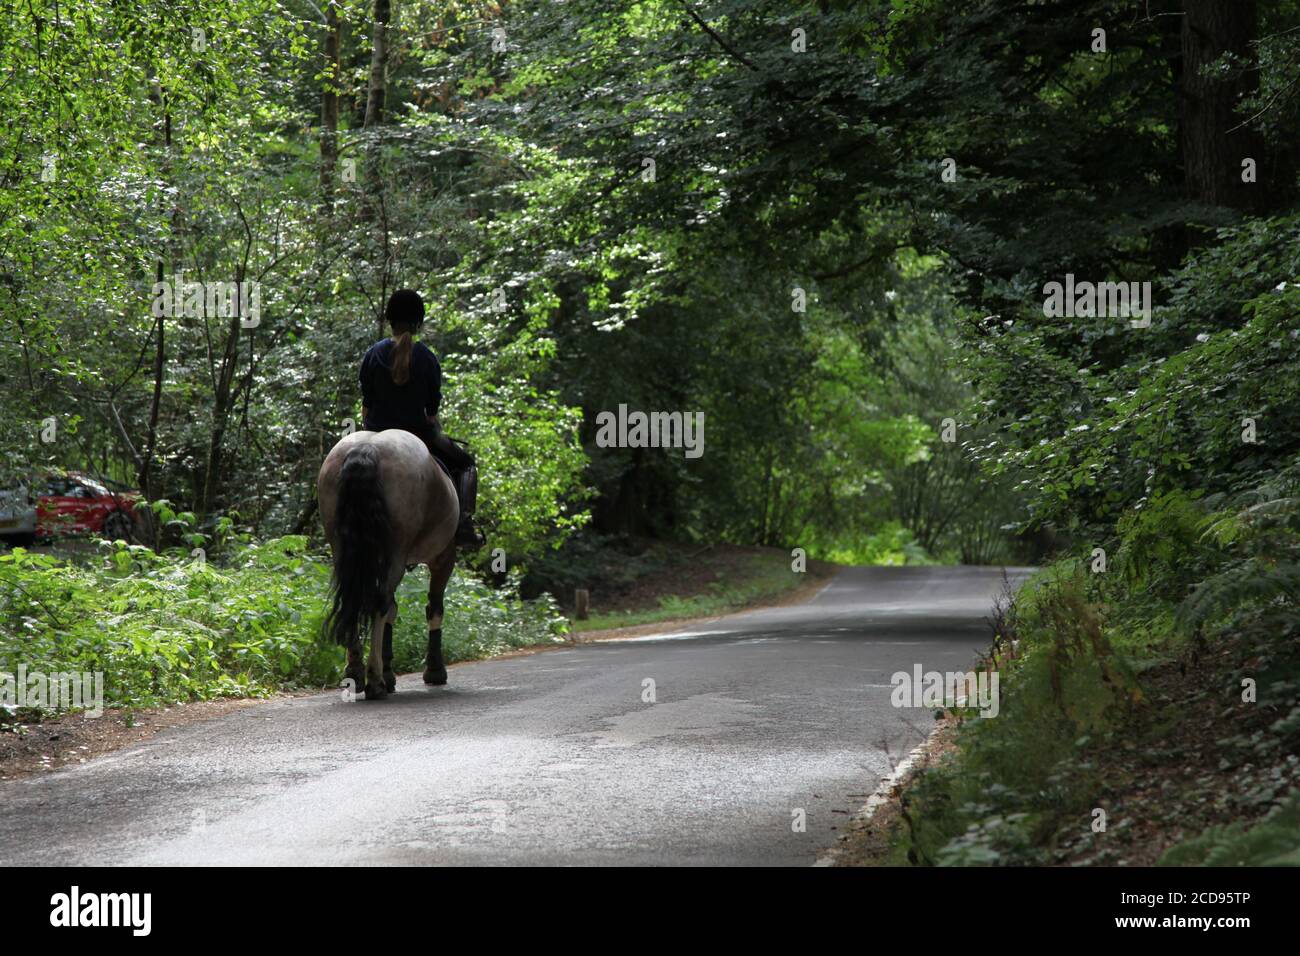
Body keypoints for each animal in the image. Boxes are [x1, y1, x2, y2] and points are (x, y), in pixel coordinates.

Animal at [314, 429, 457, 697]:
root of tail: (367, 447)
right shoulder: (443, 557)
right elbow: (434, 609)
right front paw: (434, 671)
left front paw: (390, 672)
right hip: (397, 553)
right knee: (379, 603)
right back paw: (375, 680)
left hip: (342, 549)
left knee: (356, 599)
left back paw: (355, 672)